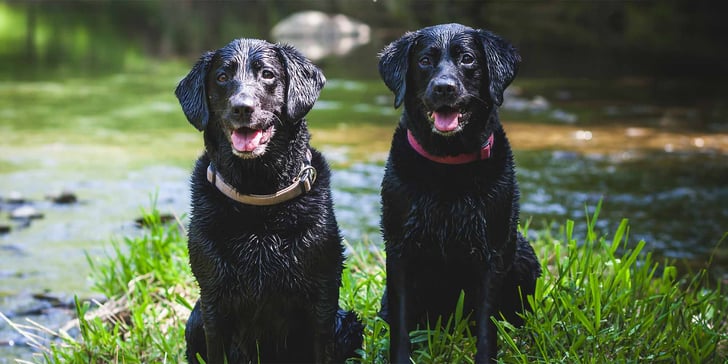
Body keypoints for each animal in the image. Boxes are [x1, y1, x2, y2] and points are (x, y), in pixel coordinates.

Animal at [177, 38, 364, 362]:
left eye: (267, 74)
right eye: (222, 77)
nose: (242, 108)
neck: (259, 197)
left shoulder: (322, 301)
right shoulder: (213, 301)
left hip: (348, 323)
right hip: (195, 320)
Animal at [376, 24, 540, 362]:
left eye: (467, 59)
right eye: (425, 60)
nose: (444, 88)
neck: (447, 165)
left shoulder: (493, 252)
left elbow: (487, 326)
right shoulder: (399, 250)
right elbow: (400, 323)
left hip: (524, 255)